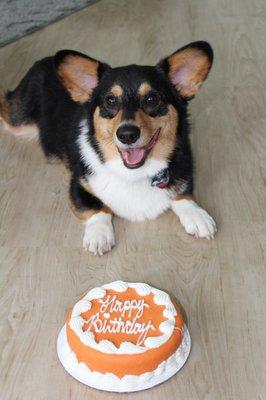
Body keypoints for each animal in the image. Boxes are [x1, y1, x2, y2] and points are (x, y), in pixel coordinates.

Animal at [0, 42, 216, 255]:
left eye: (152, 99)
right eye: (110, 100)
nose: (127, 134)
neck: (134, 174)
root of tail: (44, 60)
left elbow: (183, 194)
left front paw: (198, 216)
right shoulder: (79, 184)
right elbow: (97, 208)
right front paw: (99, 235)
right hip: (18, 119)